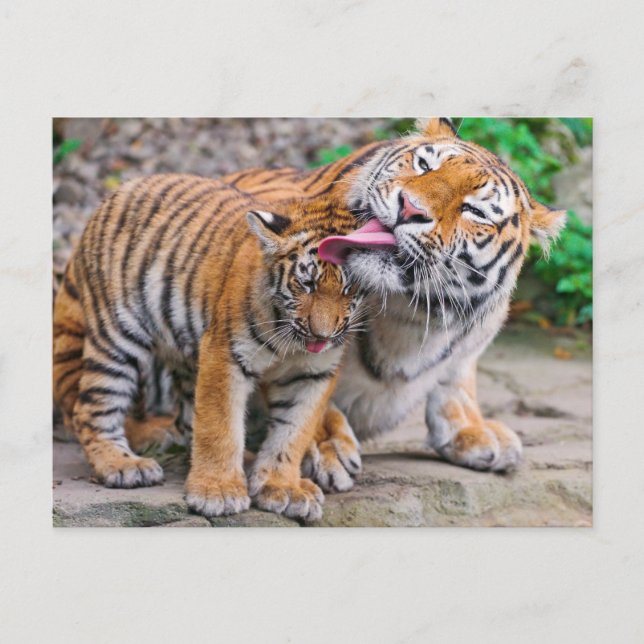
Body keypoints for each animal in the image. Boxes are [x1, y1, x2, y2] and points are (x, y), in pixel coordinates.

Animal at [52, 175, 366, 520]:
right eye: (307, 284)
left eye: (349, 288)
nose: (322, 335)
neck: (291, 341)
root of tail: (121, 188)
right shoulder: (226, 353)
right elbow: (220, 425)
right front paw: (218, 492)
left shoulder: (313, 374)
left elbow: (293, 432)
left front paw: (282, 487)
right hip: (117, 338)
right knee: (91, 408)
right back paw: (123, 465)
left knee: (188, 420)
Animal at [223, 117, 567, 485]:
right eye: (425, 165)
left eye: (475, 210)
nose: (410, 207)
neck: (409, 311)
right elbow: (303, 387)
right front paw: (326, 445)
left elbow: (457, 377)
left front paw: (472, 430)